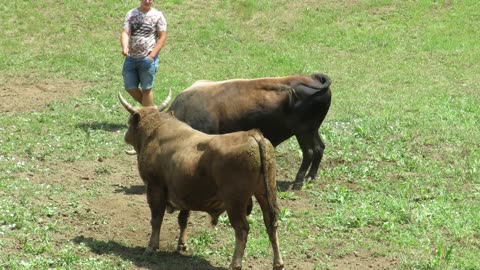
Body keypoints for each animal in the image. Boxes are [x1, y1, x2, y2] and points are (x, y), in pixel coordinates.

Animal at [119, 92, 284, 268]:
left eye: (129, 122)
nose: (125, 135)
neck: (155, 131)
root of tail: (253, 135)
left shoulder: (155, 188)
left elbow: (156, 219)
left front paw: (151, 247)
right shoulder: (184, 193)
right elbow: (183, 219)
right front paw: (182, 244)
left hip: (235, 202)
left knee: (242, 229)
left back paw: (235, 264)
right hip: (265, 193)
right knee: (271, 223)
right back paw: (278, 263)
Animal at [167, 73, 332, 189]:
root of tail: (315, 78)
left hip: (303, 131)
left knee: (309, 152)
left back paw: (298, 181)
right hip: (312, 130)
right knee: (319, 147)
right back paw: (311, 176)